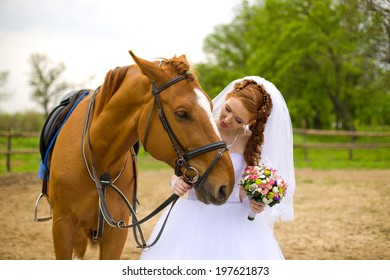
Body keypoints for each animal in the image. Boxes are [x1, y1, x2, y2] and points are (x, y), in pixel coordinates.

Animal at [45, 51, 235, 260]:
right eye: (182, 113)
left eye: (211, 106)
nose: (226, 184)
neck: (98, 161)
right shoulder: (62, 226)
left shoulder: (116, 232)